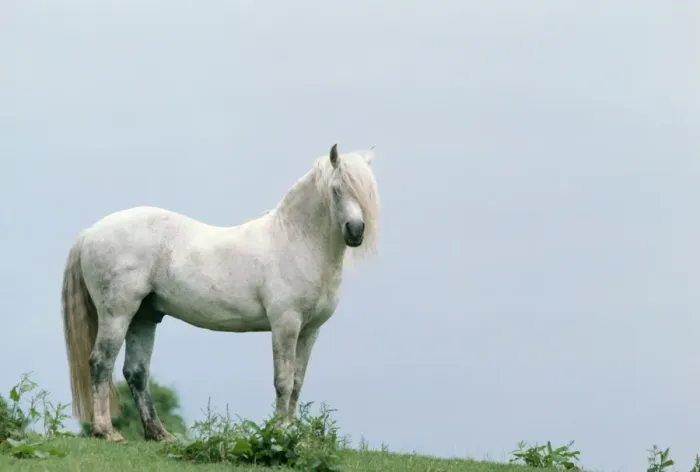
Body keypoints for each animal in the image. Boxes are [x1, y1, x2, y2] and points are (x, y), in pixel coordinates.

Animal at [61, 144, 380, 443]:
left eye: (368, 192)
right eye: (337, 189)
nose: (355, 231)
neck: (296, 241)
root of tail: (89, 233)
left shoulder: (310, 330)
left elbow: (297, 383)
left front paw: (294, 436)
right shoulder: (285, 325)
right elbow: (283, 382)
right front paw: (280, 434)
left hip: (144, 316)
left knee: (136, 372)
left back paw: (159, 434)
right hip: (117, 314)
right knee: (101, 362)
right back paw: (107, 431)